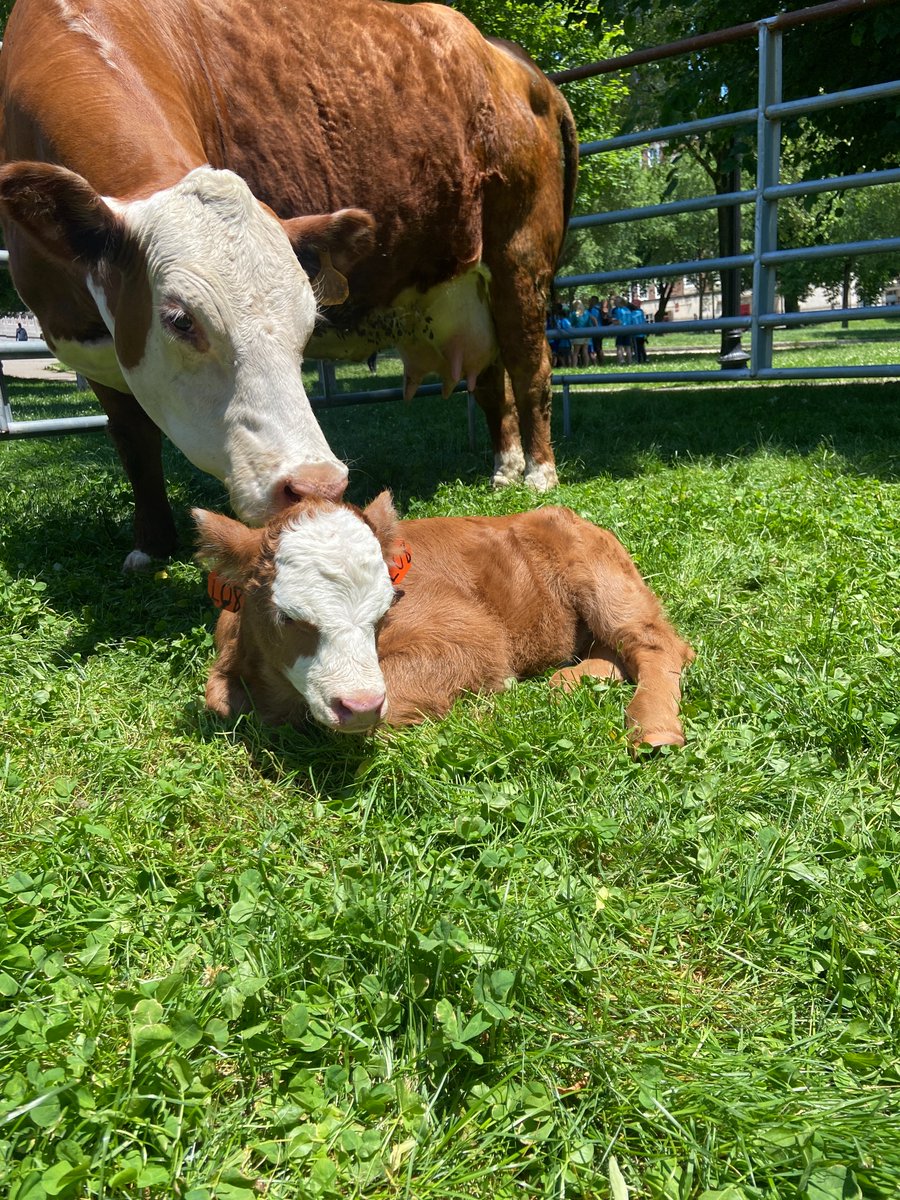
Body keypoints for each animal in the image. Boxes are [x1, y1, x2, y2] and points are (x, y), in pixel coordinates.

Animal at [0, 0, 578, 570]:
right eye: (180, 320)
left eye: (307, 322)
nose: (316, 484)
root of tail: (518, 63)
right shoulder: (87, 339)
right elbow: (132, 438)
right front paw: (151, 544)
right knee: (492, 380)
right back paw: (504, 467)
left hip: (519, 259)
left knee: (529, 367)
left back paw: (538, 472)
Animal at [193, 494, 694, 749]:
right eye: (287, 615)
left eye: (388, 607)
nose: (360, 705)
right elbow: (219, 699)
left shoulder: (471, 636)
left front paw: (488, 703)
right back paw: (568, 681)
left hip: (603, 579)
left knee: (659, 645)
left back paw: (652, 726)